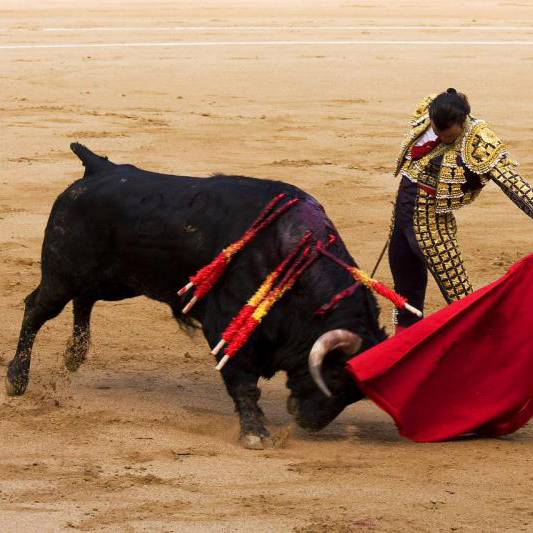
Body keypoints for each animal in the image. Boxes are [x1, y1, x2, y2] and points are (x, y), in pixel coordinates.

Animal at [6, 143, 384, 446]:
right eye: (334, 376)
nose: (309, 423)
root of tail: (100, 168)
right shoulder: (226, 324)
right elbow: (242, 381)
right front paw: (255, 433)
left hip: (115, 283)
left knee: (85, 299)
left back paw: (75, 354)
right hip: (62, 274)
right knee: (36, 309)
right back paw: (17, 379)